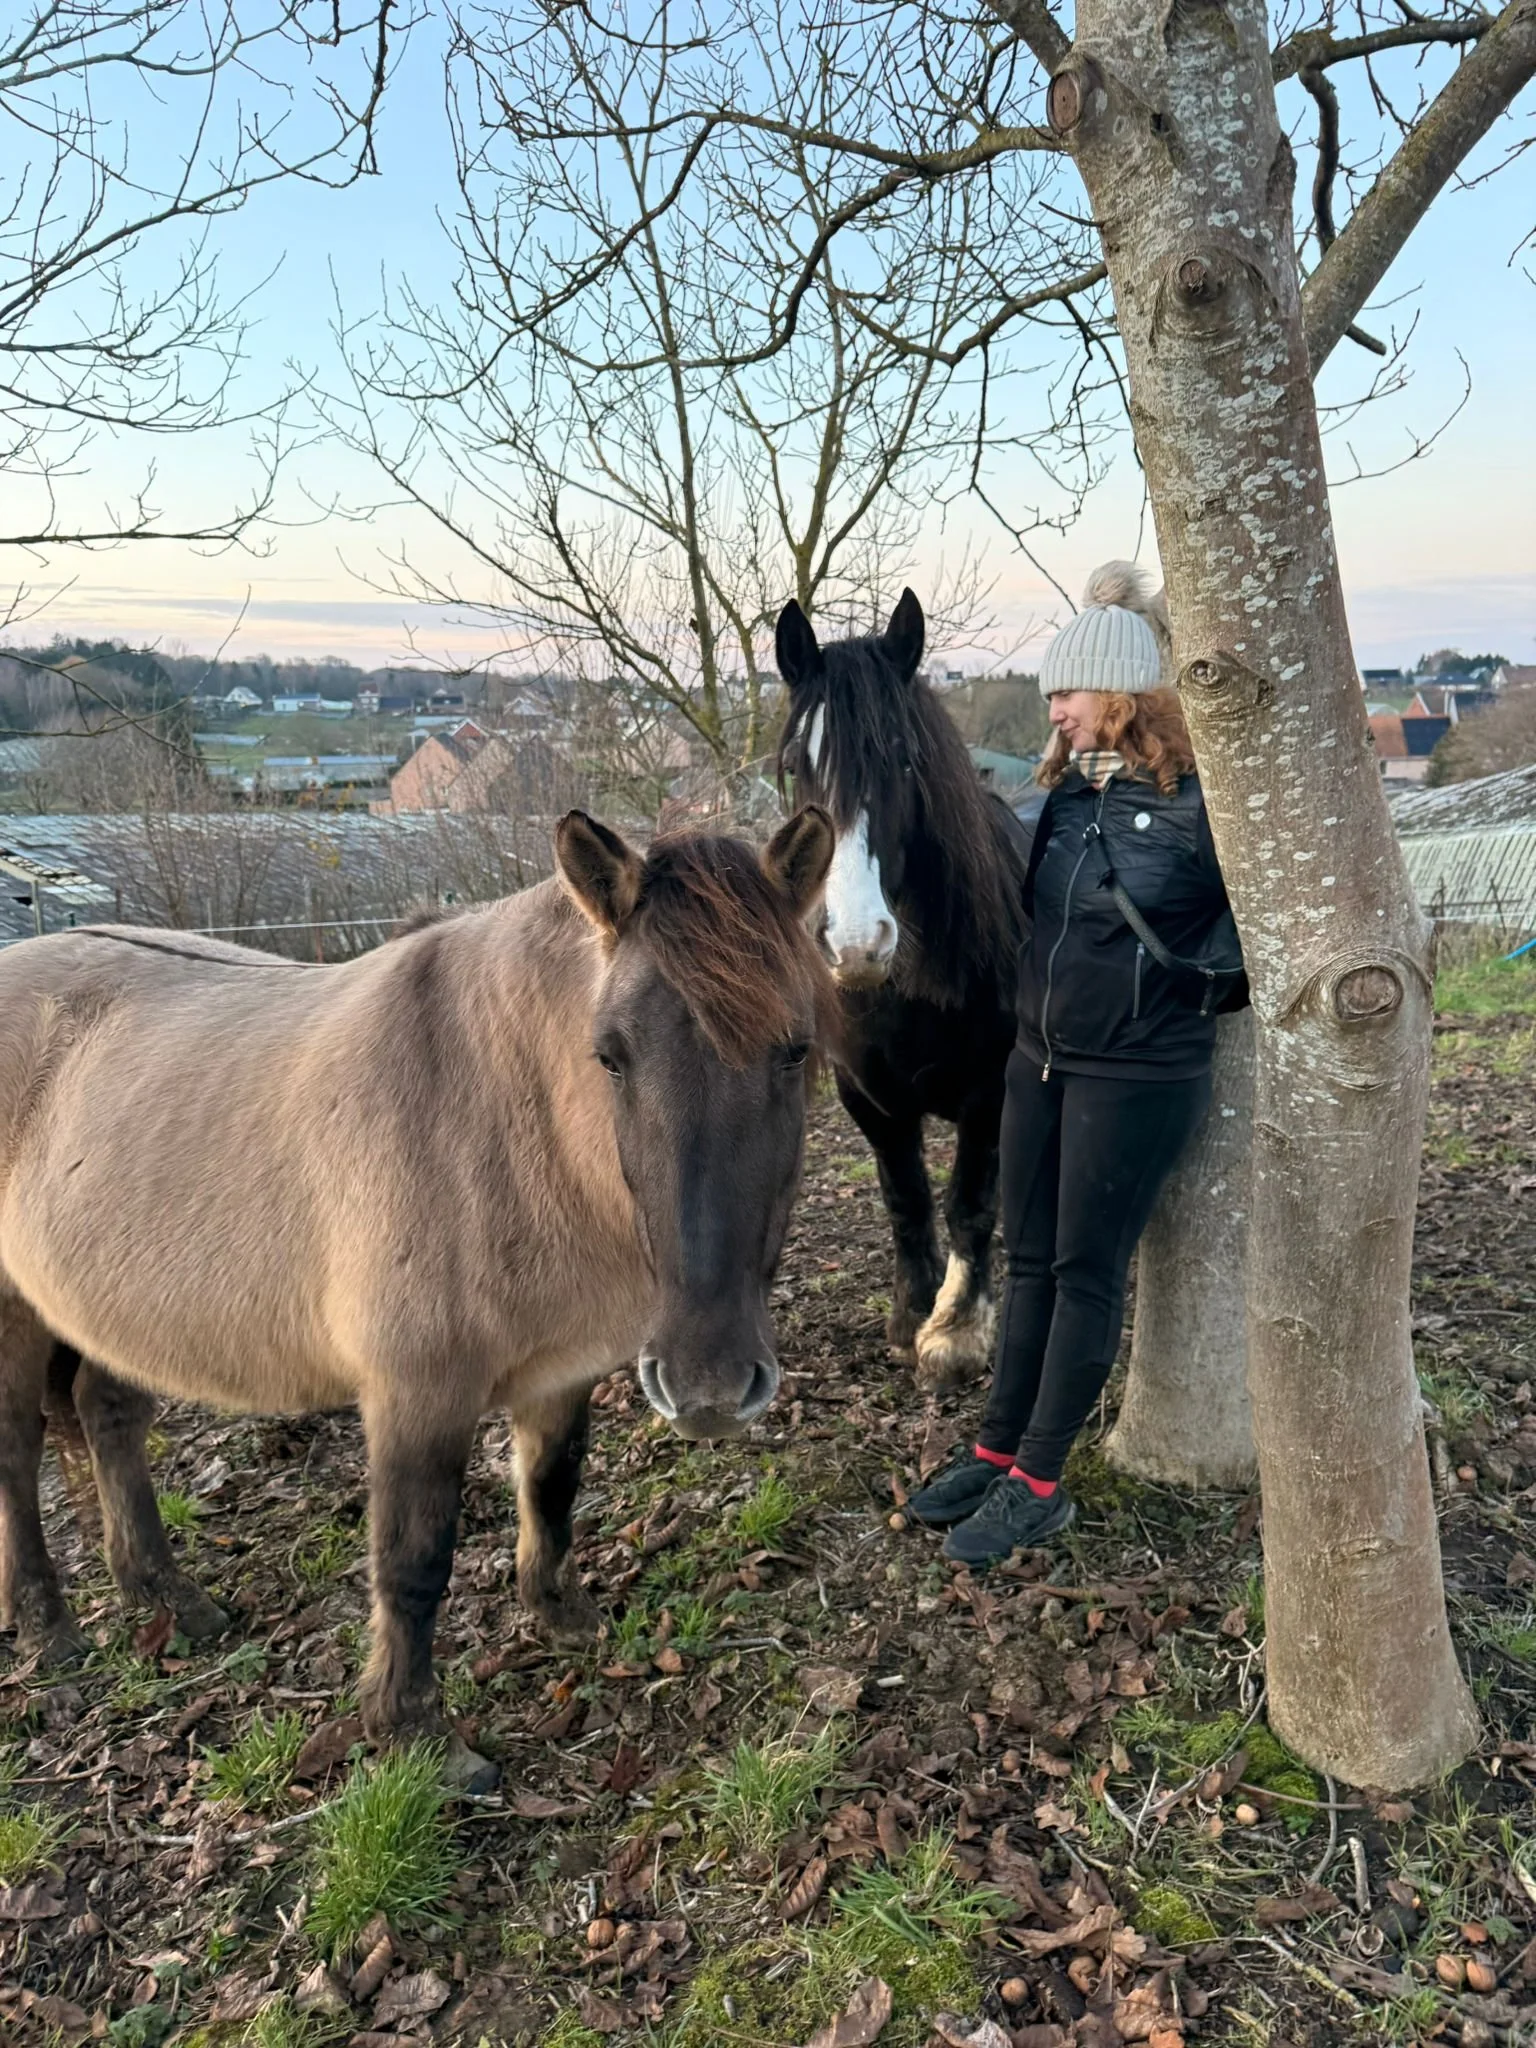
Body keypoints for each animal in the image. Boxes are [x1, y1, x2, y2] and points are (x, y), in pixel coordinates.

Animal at [0, 808, 835, 1787]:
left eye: (795, 1048)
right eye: (610, 1056)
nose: (709, 1387)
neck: (501, 1115)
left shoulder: (562, 1371)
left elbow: (551, 1486)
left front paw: (560, 1616)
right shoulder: (416, 1395)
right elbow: (413, 1557)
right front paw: (416, 1735)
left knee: (108, 1415)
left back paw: (170, 1599)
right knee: (16, 1454)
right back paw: (50, 1635)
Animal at [775, 591, 1036, 1389]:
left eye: (904, 757)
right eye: (794, 765)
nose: (856, 945)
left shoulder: (992, 1097)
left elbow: (969, 1205)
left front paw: (956, 1330)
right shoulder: (871, 1098)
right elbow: (906, 1199)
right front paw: (910, 1310)